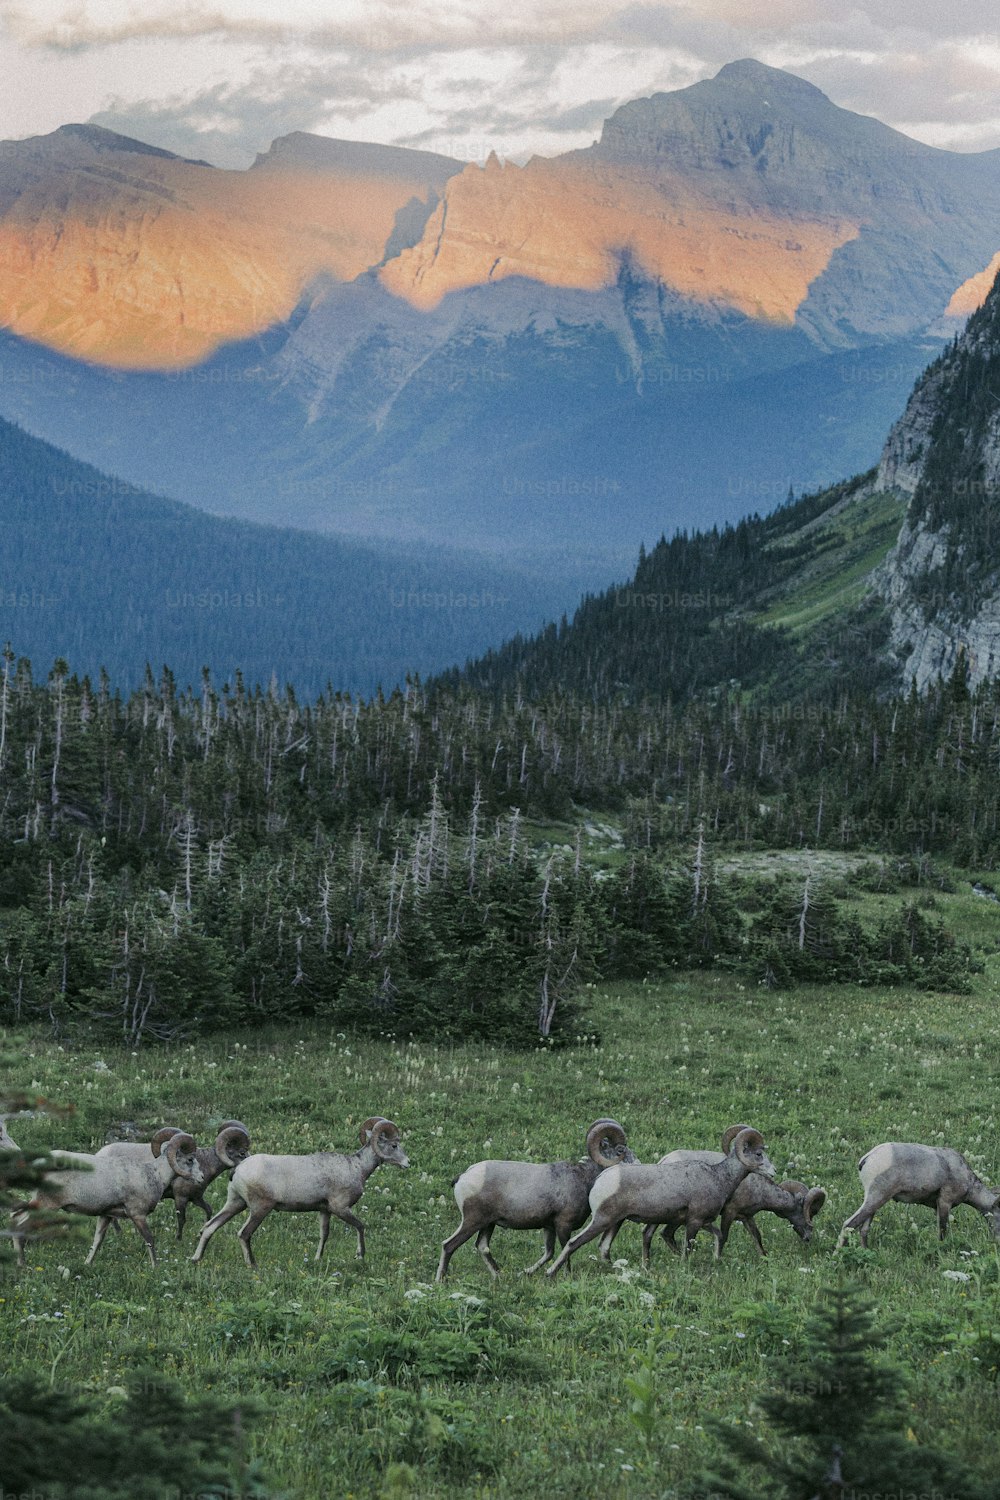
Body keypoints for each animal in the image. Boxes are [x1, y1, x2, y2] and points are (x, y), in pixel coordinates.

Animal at [23, 1134, 202, 1266]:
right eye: (190, 1159)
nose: (201, 1177)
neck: (153, 1175)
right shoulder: (138, 1215)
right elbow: (150, 1240)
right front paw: (155, 1267)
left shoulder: (106, 1216)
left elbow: (97, 1241)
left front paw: (87, 1263)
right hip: (45, 1205)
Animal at [189, 1116, 407, 1266]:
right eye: (394, 1145)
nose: (408, 1162)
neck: (356, 1167)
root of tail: (240, 1168)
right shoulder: (340, 1208)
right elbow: (360, 1227)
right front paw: (360, 1255)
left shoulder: (325, 1211)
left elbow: (324, 1235)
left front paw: (317, 1259)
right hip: (260, 1209)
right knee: (243, 1234)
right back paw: (252, 1264)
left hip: (235, 1203)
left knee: (210, 1226)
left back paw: (195, 1258)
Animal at [434, 1122, 638, 1284]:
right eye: (620, 1151)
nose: (638, 1166)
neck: (583, 1178)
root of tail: (463, 1177)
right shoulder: (563, 1225)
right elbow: (566, 1251)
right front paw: (566, 1277)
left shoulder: (549, 1227)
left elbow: (548, 1254)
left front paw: (524, 1273)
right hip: (473, 1221)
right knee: (449, 1245)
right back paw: (440, 1280)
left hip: (487, 1224)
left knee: (482, 1247)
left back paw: (499, 1276)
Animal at [548, 1128, 773, 1278]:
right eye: (759, 1154)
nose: (774, 1172)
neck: (719, 1177)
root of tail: (603, 1178)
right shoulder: (694, 1221)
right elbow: (687, 1249)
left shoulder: (702, 1221)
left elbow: (718, 1236)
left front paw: (716, 1259)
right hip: (602, 1220)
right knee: (573, 1243)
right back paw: (550, 1273)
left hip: (615, 1222)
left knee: (603, 1247)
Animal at [839, 1140, 1000, 1248]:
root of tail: (867, 1159)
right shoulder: (944, 1202)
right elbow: (943, 1230)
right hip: (877, 1197)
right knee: (849, 1224)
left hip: (874, 1203)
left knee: (863, 1229)